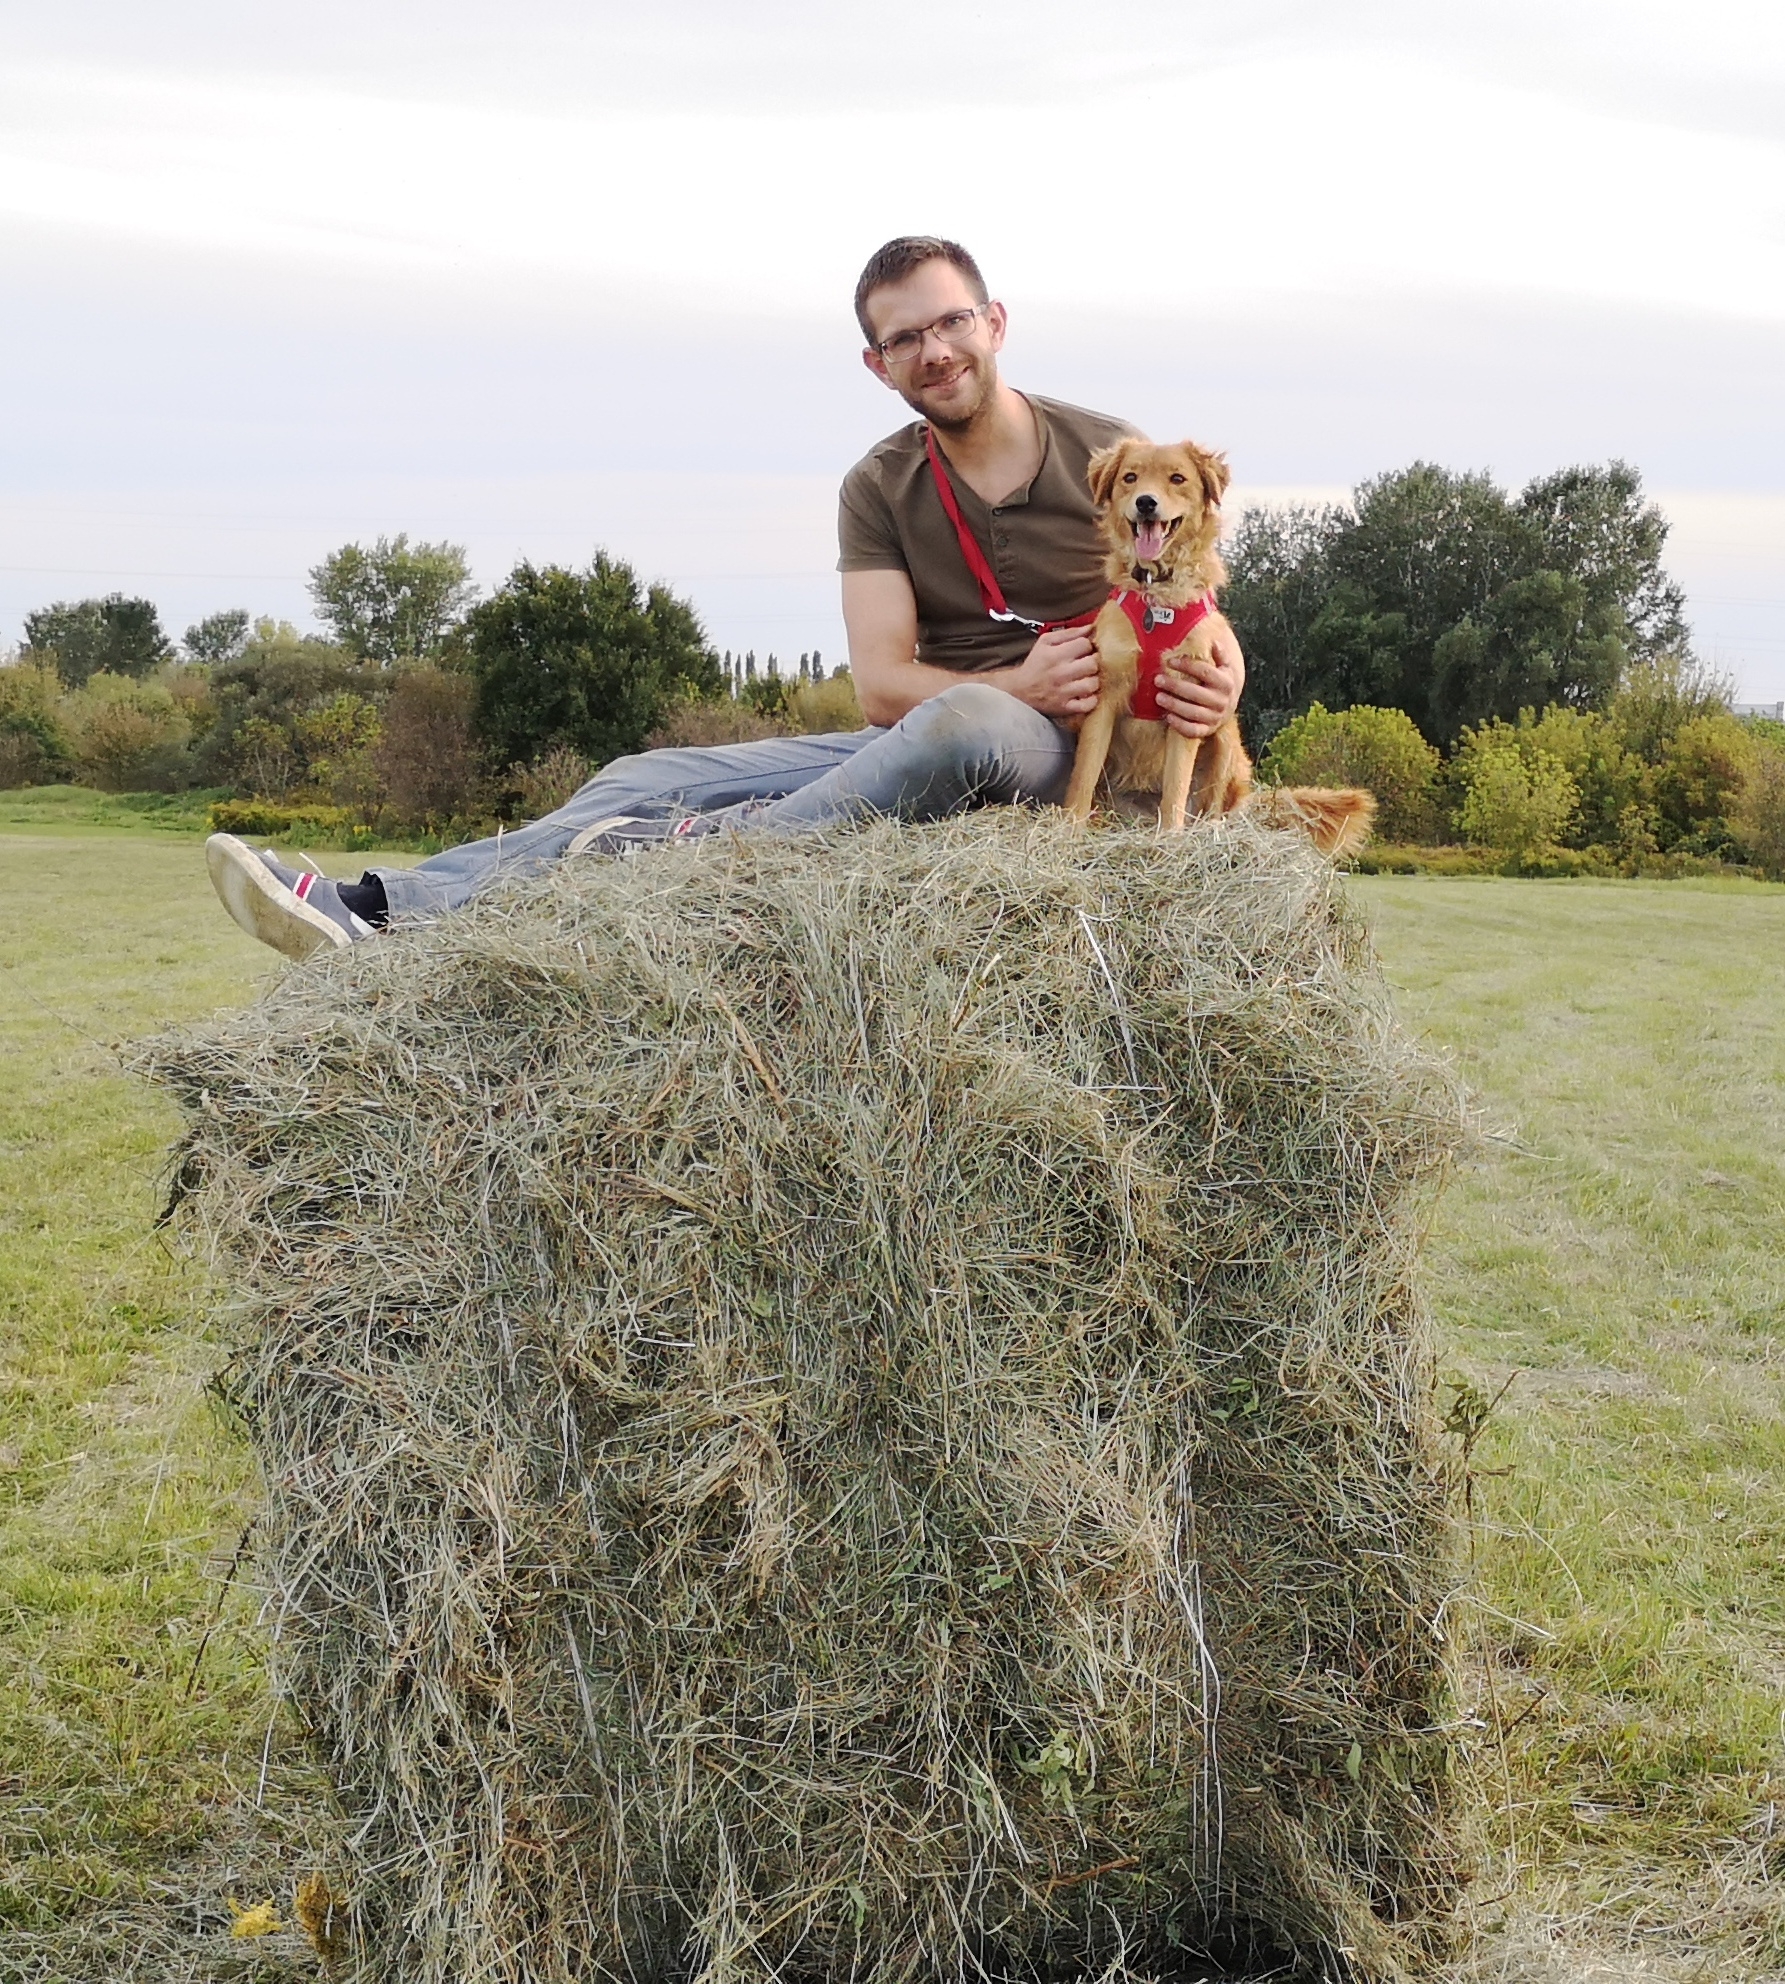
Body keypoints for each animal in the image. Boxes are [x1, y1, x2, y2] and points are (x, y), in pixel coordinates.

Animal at [1063, 434, 1380, 853]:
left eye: (1177, 478)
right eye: (1130, 477)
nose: (1146, 502)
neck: (1157, 598)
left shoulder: (1186, 700)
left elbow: (1176, 789)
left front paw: (1171, 841)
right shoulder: (1104, 698)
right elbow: (1082, 778)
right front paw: (1067, 832)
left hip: (1225, 737)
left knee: (1210, 806)